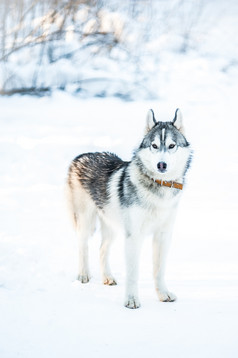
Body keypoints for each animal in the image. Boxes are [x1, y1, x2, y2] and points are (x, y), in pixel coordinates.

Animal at [66, 108, 192, 308]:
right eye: (154, 146)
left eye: (172, 146)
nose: (161, 165)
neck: (158, 189)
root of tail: (82, 155)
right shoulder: (134, 236)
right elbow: (133, 273)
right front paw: (131, 300)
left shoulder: (163, 236)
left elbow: (159, 270)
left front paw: (163, 294)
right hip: (86, 222)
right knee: (82, 246)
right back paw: (83, 275)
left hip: (111, 226)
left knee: (102, 249)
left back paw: (108, 277)